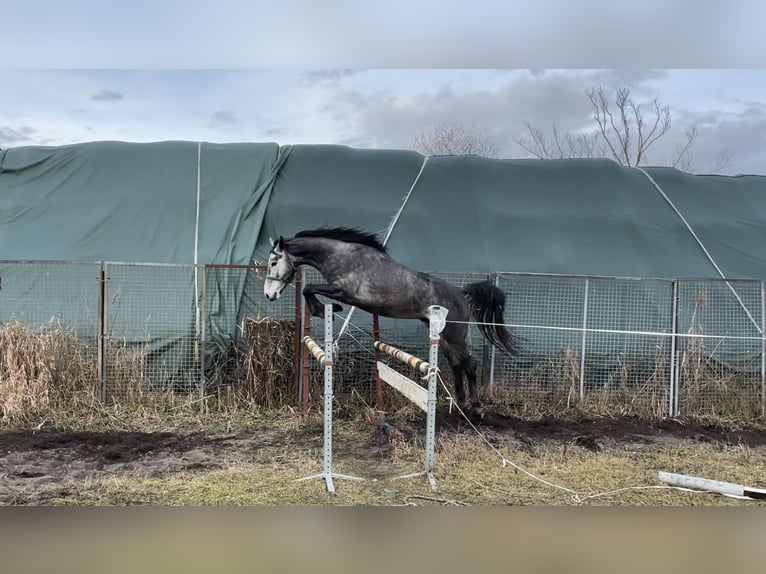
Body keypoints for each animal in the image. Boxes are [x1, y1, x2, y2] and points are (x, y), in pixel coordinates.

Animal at [266, 227, 520, 412]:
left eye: (273, 262)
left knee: (469, 364)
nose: (269, 295)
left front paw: (323, 309)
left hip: (454, 334)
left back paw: (476, 407)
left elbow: (308, 287)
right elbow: (309, 288)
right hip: (444, 335)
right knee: (457, 364)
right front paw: (324, 308)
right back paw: (462, 403)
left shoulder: (344, 291)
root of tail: (462, 293)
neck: (340, 256)